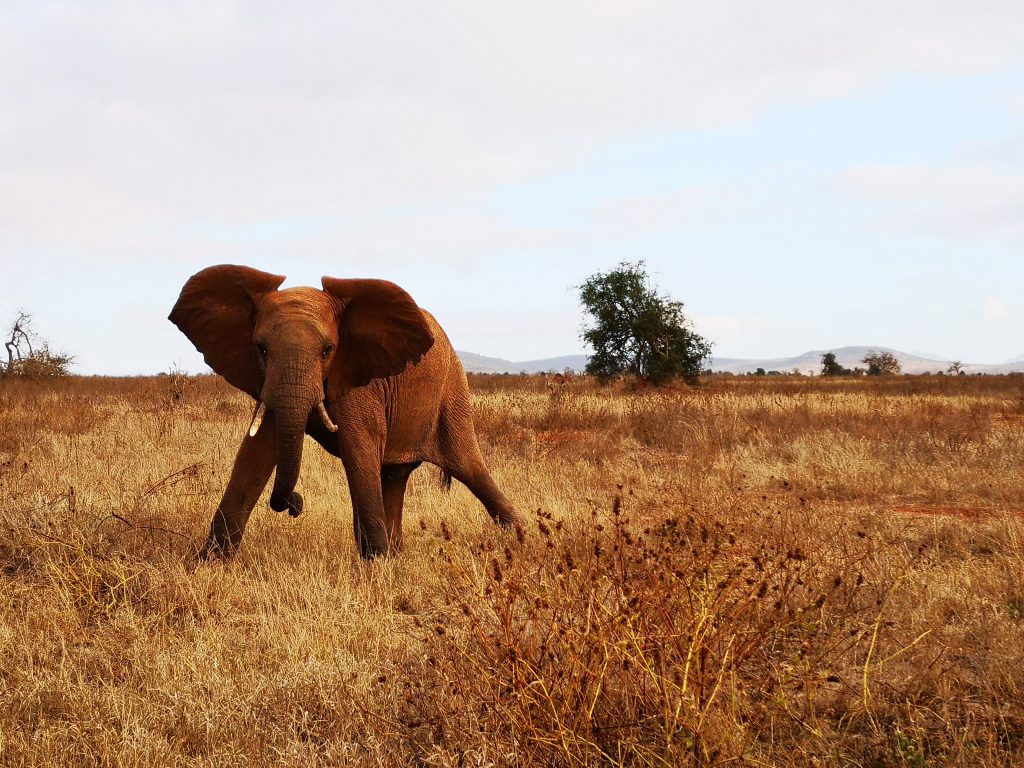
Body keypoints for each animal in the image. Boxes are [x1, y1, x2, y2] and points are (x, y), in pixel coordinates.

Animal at [171, 268, 520, 561]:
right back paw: (396, 554)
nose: (295, 504)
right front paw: (208, 564)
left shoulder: (358, 382)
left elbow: (358, 449)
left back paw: (521, 539)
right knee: (393, 476)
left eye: (327, 350)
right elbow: (255, 452)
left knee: (469, 468)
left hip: (452, 392)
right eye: (261, 349)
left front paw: (376, 567)